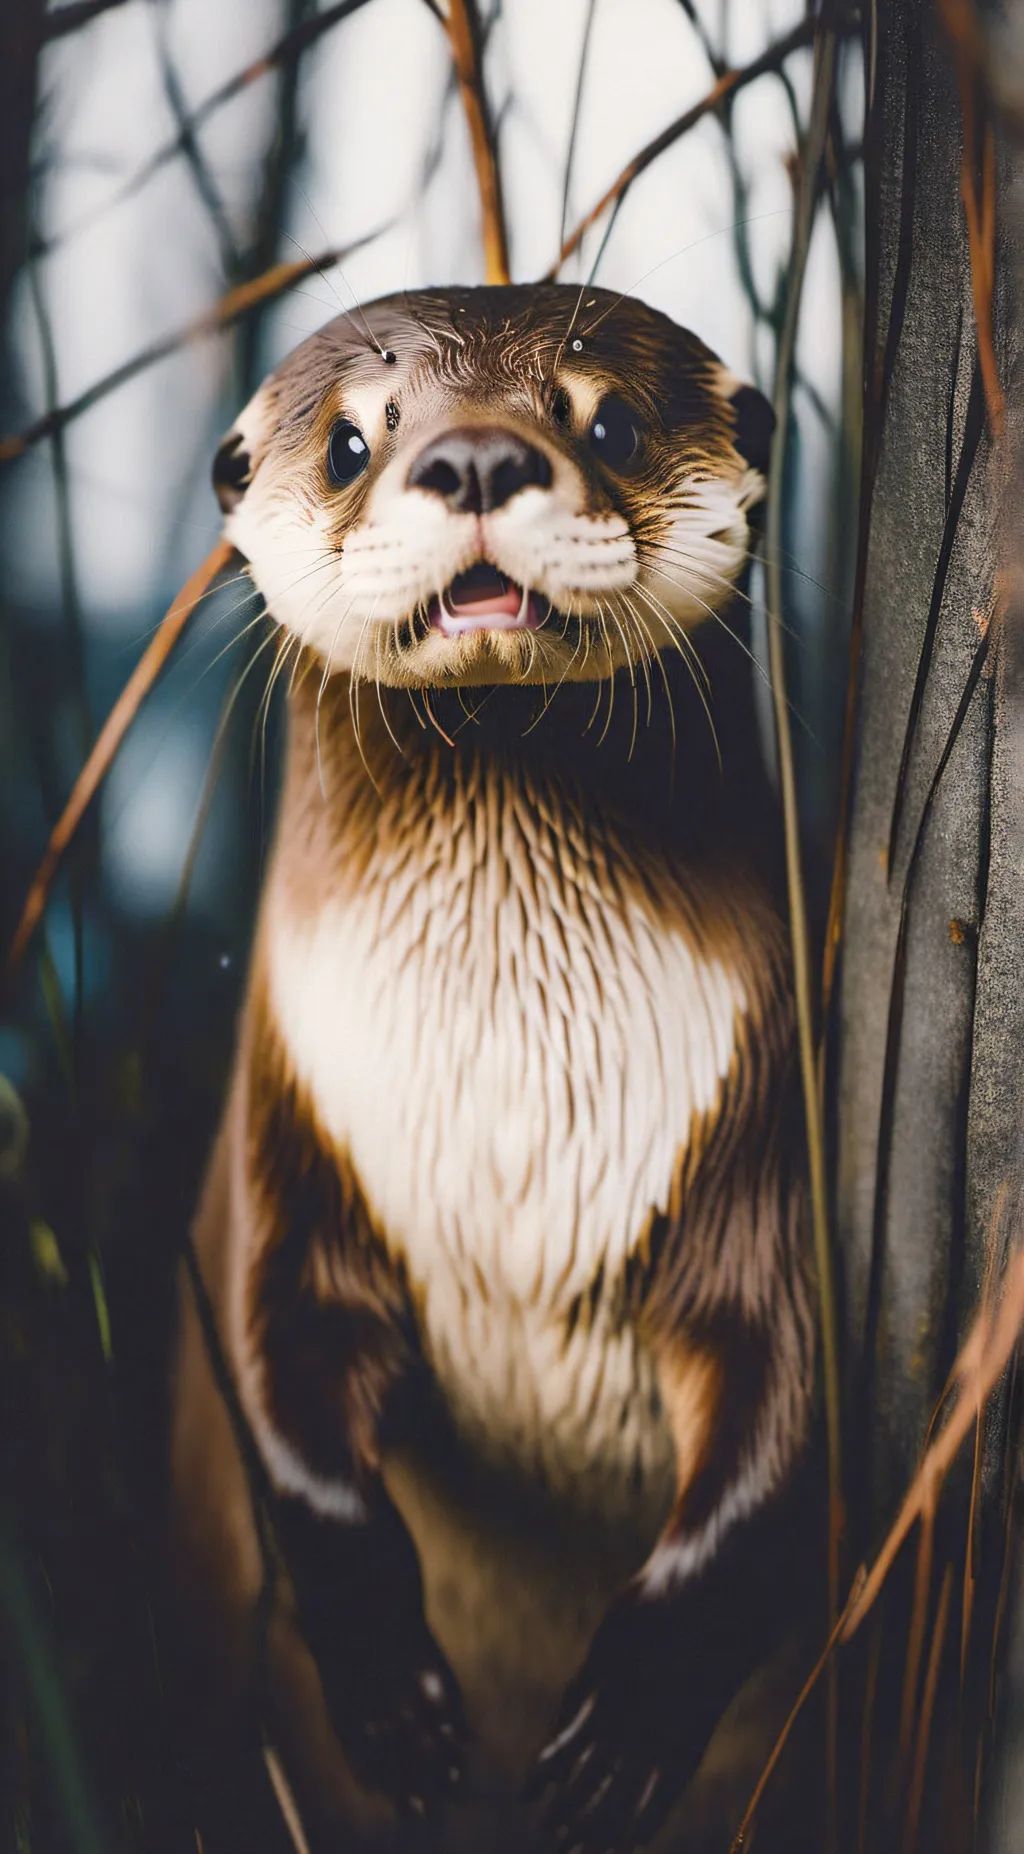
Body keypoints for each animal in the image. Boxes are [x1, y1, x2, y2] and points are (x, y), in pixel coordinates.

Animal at [171, 284, 815, 1854]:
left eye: (612, 420)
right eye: (352, 439)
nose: (472, 458)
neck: (507, 1105)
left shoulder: (764, 1127)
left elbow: (781, 1412)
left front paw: (632, 1716)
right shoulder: (285, 1130)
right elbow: (274, 1376)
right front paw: (394, 1697)